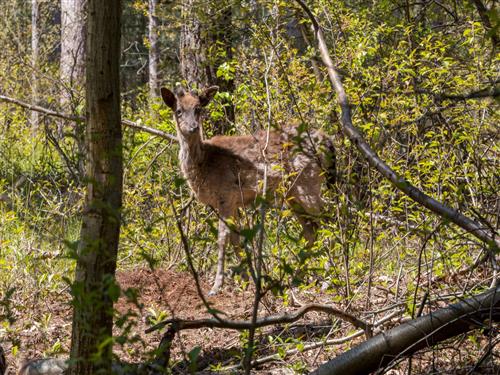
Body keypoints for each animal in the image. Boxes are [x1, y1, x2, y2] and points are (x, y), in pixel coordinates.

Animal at [160, 85, 336, 296]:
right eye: (178, 111)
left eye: (198, 109)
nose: (193, 127)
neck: (205, 164)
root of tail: (328, 141)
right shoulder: (230, 202)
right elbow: (236, 239)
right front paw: (246, 281)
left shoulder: (226, 194)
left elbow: (222, 239)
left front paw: (216, 286)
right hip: (293, 194)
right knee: (312, 230)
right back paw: (296, 278)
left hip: (308, 182)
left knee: (329, 220)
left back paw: (328, 279)